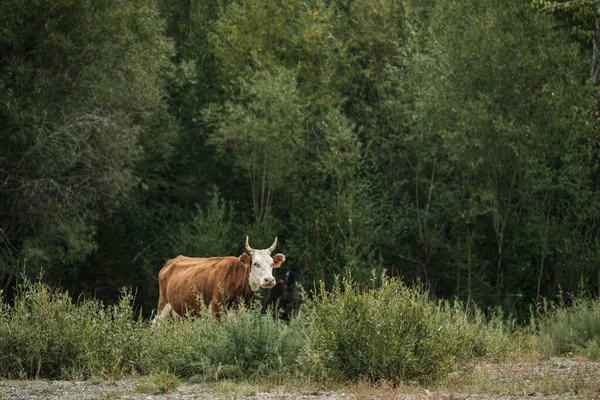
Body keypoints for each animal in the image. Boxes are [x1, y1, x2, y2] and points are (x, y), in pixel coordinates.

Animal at [155, 234, 286, 322]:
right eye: (255, 264)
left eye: (272, 264)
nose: (269, 280)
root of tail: (172, 261)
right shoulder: (216, 310)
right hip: (163, 305)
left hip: (180, 313)